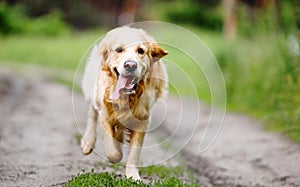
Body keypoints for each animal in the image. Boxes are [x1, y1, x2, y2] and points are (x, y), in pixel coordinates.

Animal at [81, 26, 168, 180]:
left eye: (141, 51)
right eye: (118, 50)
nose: (130, 65)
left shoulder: (142, 119)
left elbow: (134, 152)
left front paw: (133, 176)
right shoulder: (105, 112)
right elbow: (112, 150)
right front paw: (117, 154)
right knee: (92, 112)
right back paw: (87, 142)